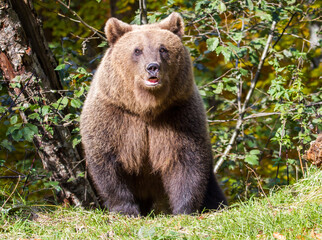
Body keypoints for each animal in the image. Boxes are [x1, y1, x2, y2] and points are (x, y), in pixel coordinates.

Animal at [80, 11, 226, 216]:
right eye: (137, 50)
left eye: (163, 49)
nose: (152, 67)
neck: (146, 108)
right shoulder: (114, 116)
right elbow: (108, 163)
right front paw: (125, 210)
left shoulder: (178, 114)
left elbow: (187, 160)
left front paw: (184, 209)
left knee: (212, 191)